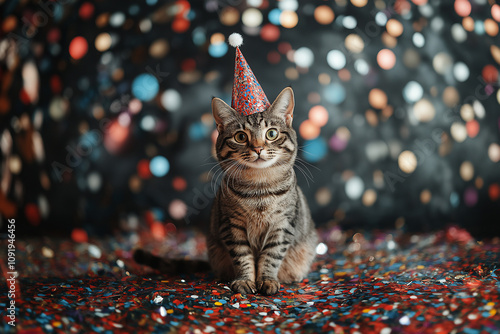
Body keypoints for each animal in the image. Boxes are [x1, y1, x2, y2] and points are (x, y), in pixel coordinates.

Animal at [135, 86, 318, 294]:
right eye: (241, 136)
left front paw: (267, 280)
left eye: (271, 134)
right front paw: (245, 280)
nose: (258, 148)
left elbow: (271, 256)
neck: (259, 188)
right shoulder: (231, 225)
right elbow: (242, 256)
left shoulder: (283, 225)